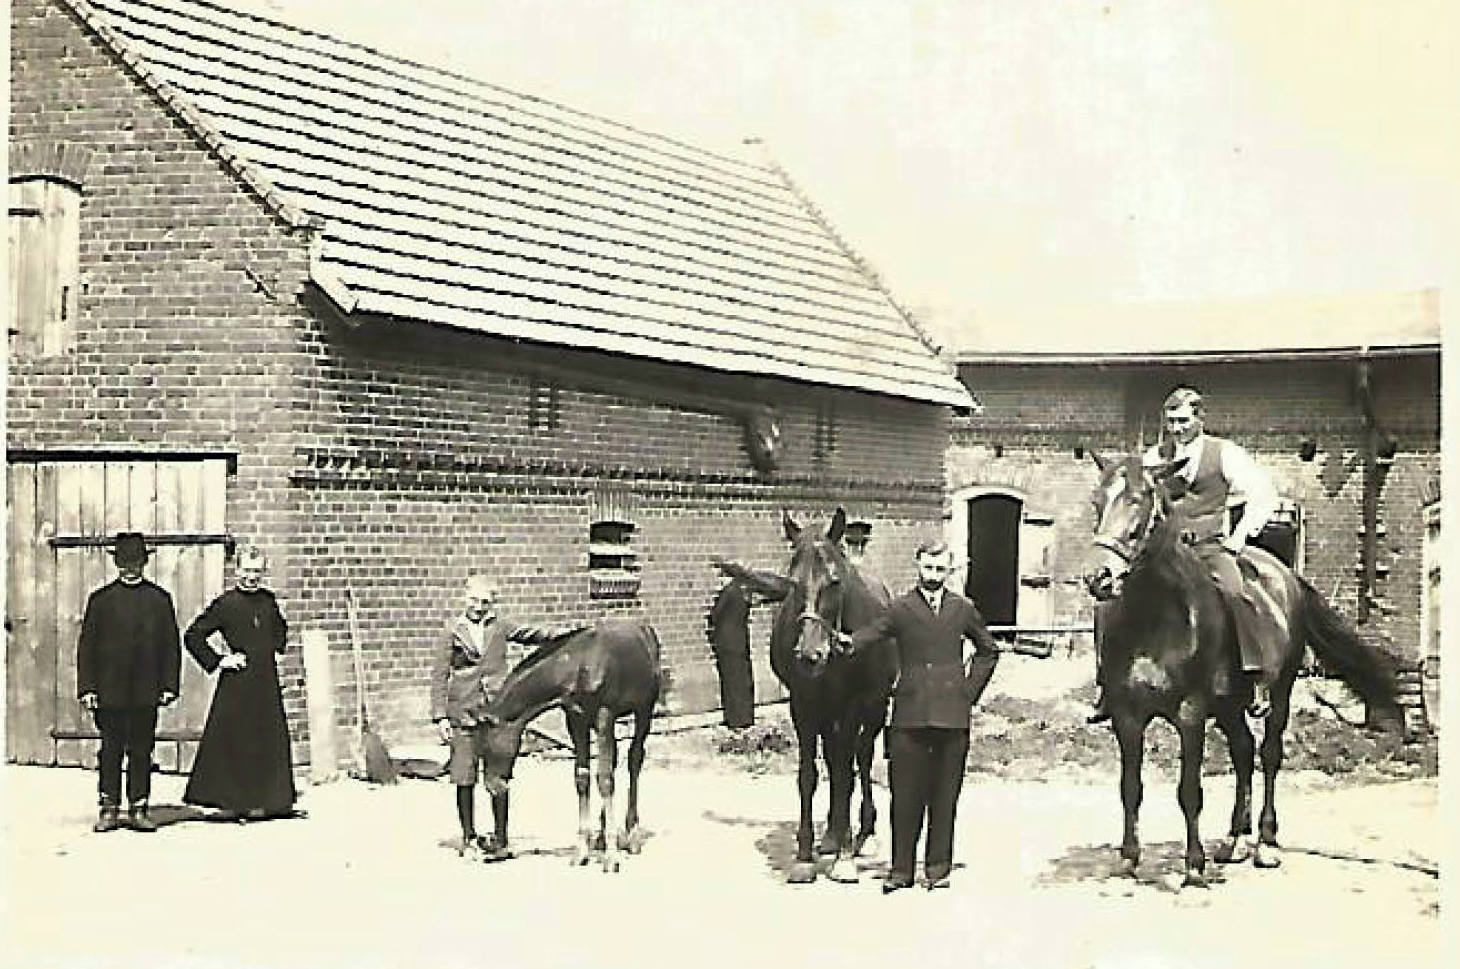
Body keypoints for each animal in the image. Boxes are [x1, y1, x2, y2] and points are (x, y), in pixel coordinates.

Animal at [478, 615, 662, 875]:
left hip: (644, 709)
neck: (577, 666)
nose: (492, 786)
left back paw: (632, 835)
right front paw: (582, 851)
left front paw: (611, 858)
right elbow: (583, 777)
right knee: (615, 761)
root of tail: (645, 630)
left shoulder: (605, 714)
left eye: (486, 747)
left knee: (634, 760)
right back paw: (601, 836)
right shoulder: (575, 719)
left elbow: (604, 780)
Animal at [715, 510, 893, 881]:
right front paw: (805, 854)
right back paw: (833, 836)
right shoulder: (804, 706)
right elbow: (809, 776)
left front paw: (844, 858)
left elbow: (845, 775)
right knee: (836, 759)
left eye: (835, 581)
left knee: (862, 759)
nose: (811, 654)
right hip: (827, 715)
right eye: (793, 583)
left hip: (874, 709)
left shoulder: (853, 707)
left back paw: (862, 833)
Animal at [1086, 452, 1401, 887]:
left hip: (1278, 695)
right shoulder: (1126, 715)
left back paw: (1265, 843)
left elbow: (1190, 791)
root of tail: (1288, 576)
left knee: (1268, 756)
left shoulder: (1191, 713)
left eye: (1139, 500)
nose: (1098, 577)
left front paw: (1194, 866)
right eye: (1097, 502)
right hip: (1228, 707)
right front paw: (1129, 859)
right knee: (1243, 751)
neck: (1155, 618)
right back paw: (1234, 840)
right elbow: (1130, 787)